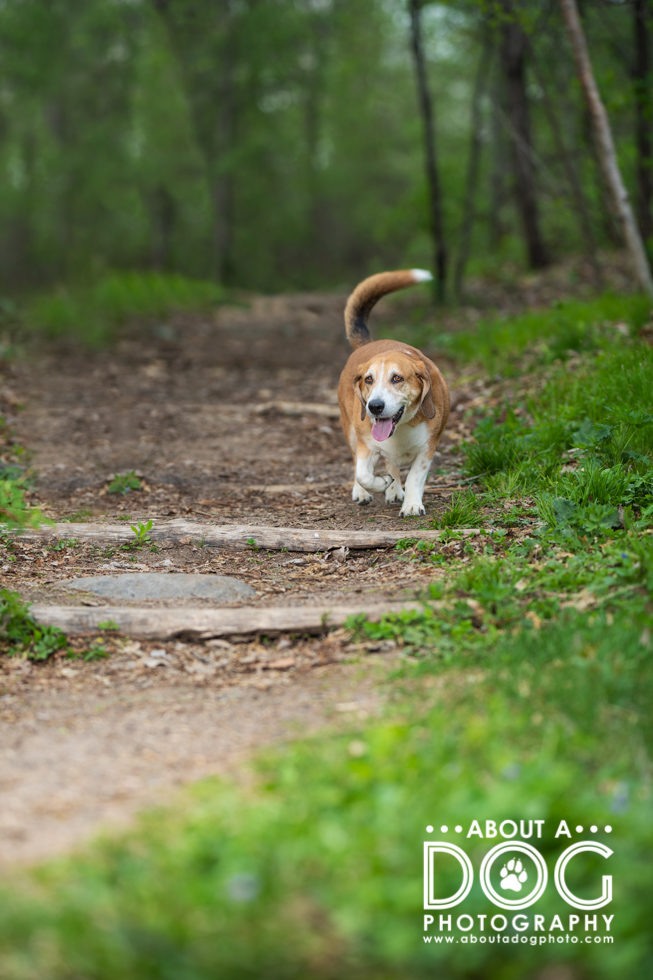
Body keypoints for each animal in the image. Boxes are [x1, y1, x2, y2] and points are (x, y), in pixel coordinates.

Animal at [336, 268, 448, 516]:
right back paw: (366, 491)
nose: (375, 407)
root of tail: (367, 344)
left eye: (397, 378)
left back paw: (396, 491)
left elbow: (415, 476)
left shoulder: (427, 449)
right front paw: (382, 482)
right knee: (360, 463)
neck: (402, 427)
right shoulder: (366, 445)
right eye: (369, 379)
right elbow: (363, 473)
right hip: (350, 432)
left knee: (394, 464)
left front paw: (412, 505)